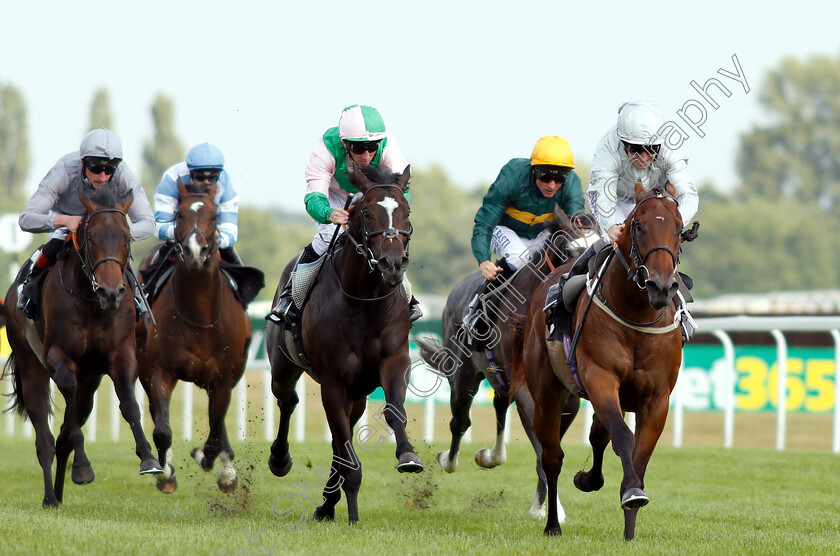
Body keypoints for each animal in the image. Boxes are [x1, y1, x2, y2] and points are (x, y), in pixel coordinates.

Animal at [2, 185, 162, 506]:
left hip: (91, 381)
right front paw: (84, 468)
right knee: (45, 439)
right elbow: (69, 412)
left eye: (126, 238)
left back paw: (60, 491)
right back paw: (50, 496)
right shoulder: (59, 358)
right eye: (91, 237)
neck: (92, 303)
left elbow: (129, 404)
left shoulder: (121, 355)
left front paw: (148, 458)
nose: (111, 292)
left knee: (65, 432)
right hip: (31, 366)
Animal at [135, 180, 251, 494]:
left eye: (214, 216)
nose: (194, 251)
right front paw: (165, 473)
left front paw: (220, 468)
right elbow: (162, 430)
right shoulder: (159, 371)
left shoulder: (223, 379)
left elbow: (214, 435)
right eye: (179, 214)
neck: (198, 315)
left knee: (217, 426)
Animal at [268, 162, 424, 524]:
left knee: (341, 439)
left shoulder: (394, 361)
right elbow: (346, 452)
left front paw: (408, 455)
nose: (392, 264)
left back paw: (328, 502)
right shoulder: (333, 382)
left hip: (358, 394)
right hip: (284, 365)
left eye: (406, 211)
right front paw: (352, 514)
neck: (365, 302)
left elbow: (394, 411)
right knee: (287, 400)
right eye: (366, 213)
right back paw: (281, 460)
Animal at [414, 206, 596, 520]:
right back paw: (448, 459)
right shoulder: (527, 392)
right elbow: (543, 449)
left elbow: (551, 445)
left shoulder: (568, 399)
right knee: (460, 421)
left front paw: (543, 506)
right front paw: (550, 509)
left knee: (499, 405)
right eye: (569, 250)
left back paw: (491, 456)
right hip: (463, 376)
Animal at [516, 182, 684, 540]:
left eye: (679, 228)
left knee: (597, 435)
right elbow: (623, 437)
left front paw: (630, 521)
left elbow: (638, 452)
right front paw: (631, 492)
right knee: (552, 457)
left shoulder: (656, 398)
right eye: (639, 225)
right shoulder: (600, 378)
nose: (661, 286)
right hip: (548, 393)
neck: (636, 314)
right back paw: (552, 524)